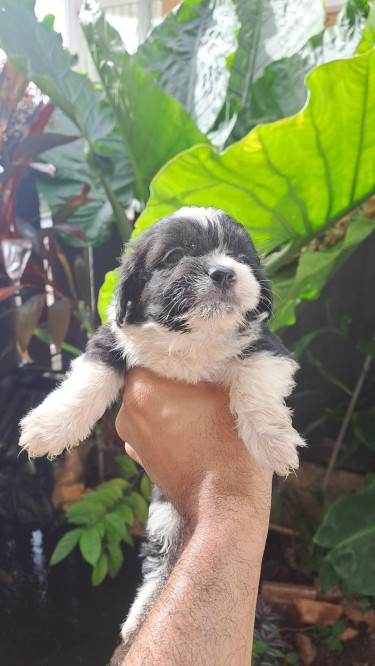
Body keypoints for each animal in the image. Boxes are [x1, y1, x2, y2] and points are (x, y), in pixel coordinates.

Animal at [19, 206, 306, 648]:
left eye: (240, 257)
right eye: (174, 257)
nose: (225, 273)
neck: (192, 340)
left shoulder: (266, 349)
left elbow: (254, 383)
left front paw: (272, 439)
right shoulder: (111, 339)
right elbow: (87, 381)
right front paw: (50, 427)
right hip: (163, 518)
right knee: (159, 564)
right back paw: (139, 618)